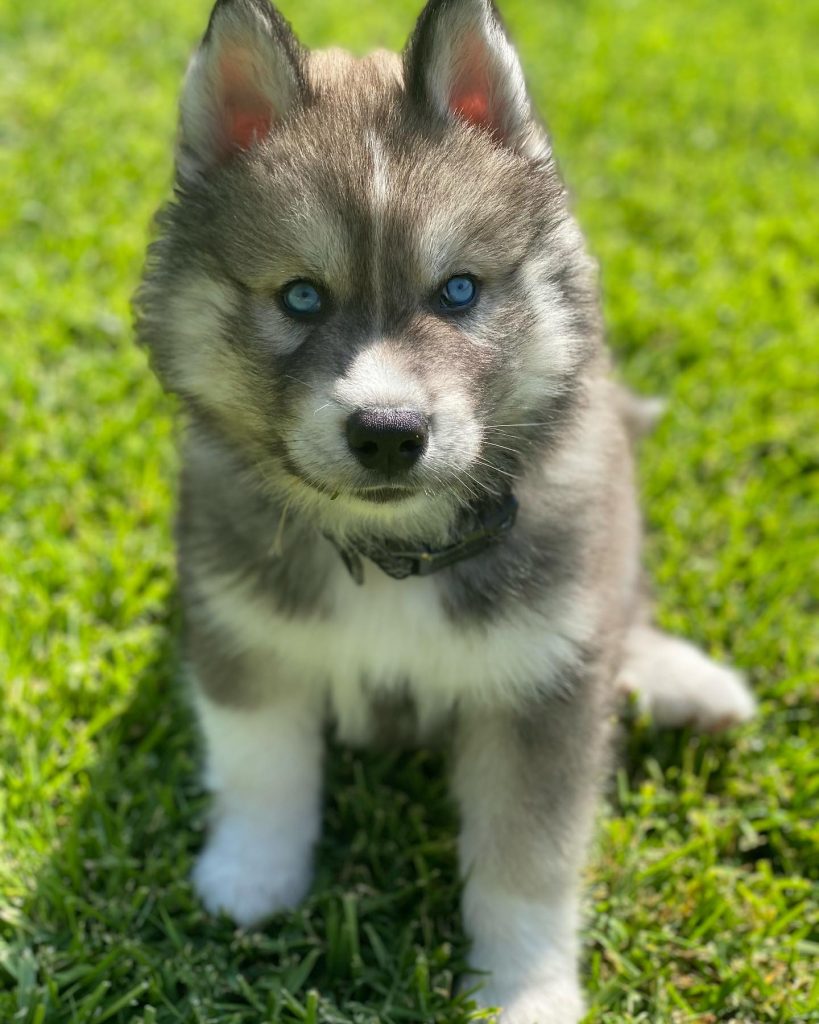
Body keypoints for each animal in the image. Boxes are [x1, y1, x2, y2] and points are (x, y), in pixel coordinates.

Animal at [134, 4, 753, 1019]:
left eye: (457, 290)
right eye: (301, 297)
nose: (388, 432)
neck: (393, 552)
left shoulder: (541, 687)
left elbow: (527, 864)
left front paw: (524, 990)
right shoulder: (244, 628)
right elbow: (261, 764)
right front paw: (251, 878)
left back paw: (681, 681)